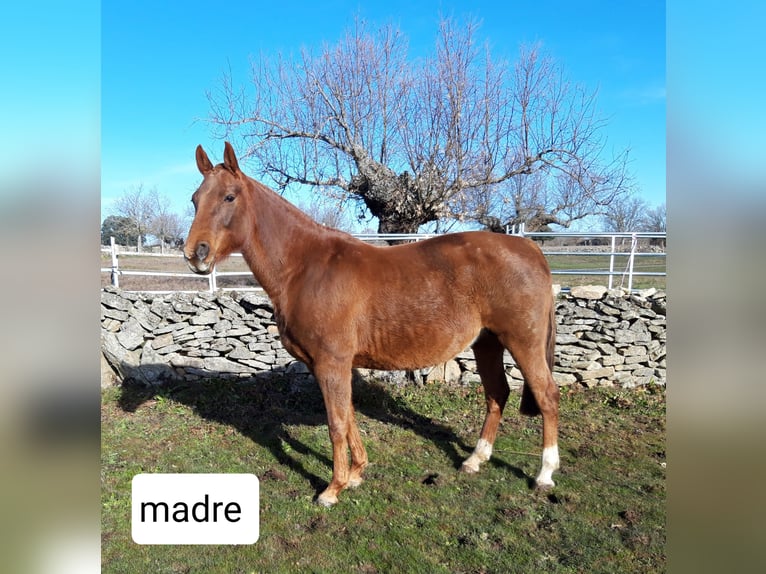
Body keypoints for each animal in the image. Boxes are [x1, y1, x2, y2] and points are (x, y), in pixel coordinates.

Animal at [184, 142, 560, 506]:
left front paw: (332, 489)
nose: (195, 254)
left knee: (546, 395)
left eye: (229, 197)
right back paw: (475, 460)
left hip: (522, 342)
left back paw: (544, 475)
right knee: (497, 393)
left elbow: (337, 423)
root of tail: (529, 248)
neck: (305, 268)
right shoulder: (331, 366)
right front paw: (356, 474)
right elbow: (349, 416)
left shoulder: (331, 363)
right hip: (487, 343)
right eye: (195, 199)